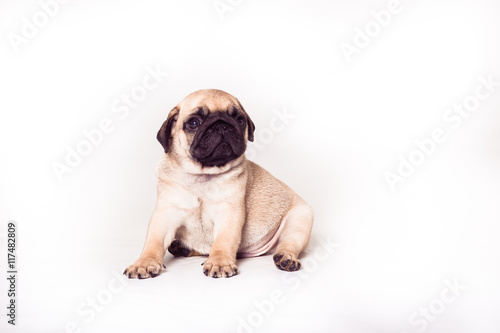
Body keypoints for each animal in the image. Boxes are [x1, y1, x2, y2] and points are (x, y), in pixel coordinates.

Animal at [124, 89, 312, 278]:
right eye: (194, 123)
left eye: (240, 120)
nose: (221, 125)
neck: (202, 175)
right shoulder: (165, 214)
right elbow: (153, 242)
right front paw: (144, 263)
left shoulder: (229, 213)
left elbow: (223, 241)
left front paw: (219, 262)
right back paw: (182, 248)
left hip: (299, 221)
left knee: (288, 243)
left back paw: (286, 258)